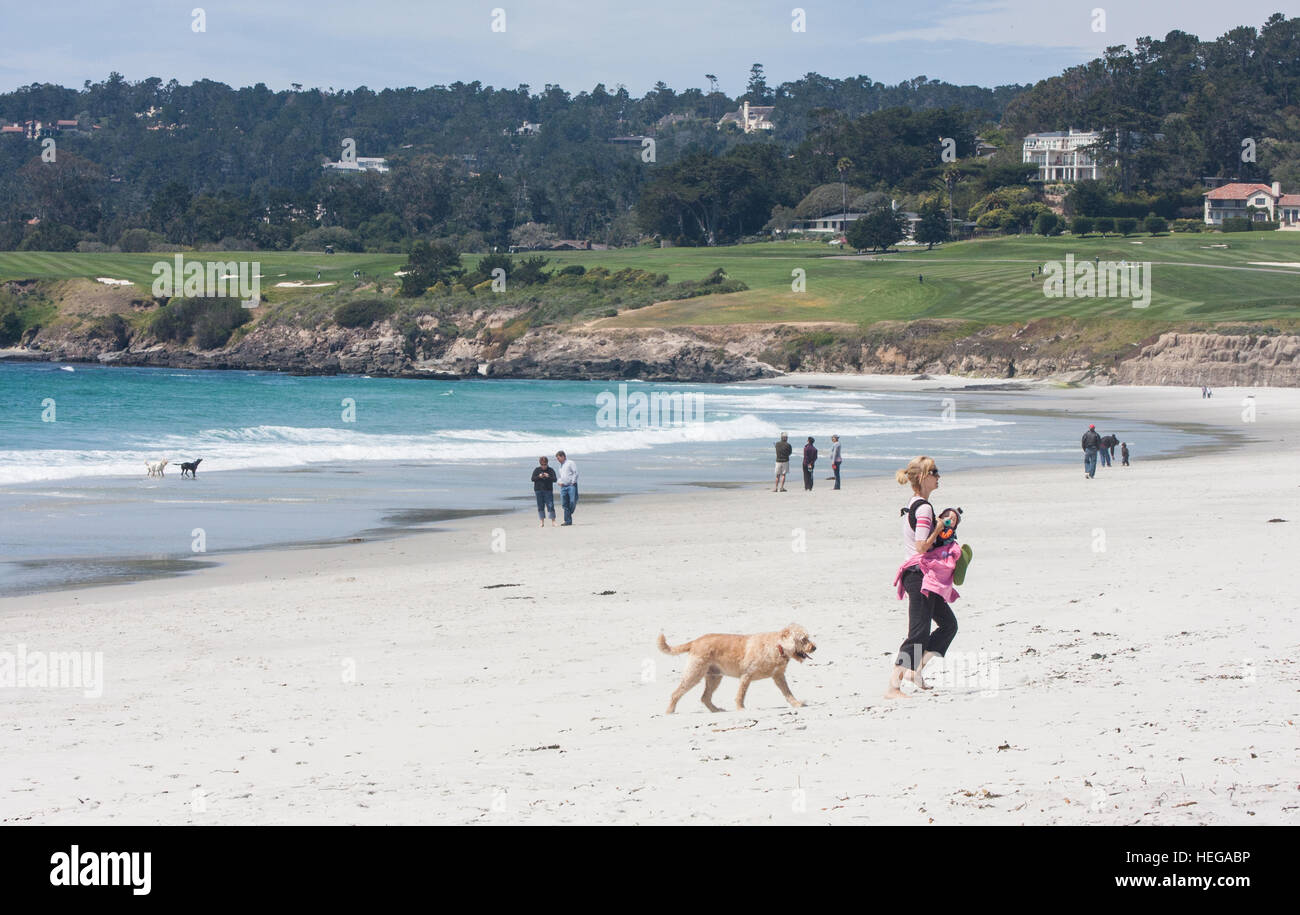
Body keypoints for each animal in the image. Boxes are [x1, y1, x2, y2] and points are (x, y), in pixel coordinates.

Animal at [660, 621, 811, 717]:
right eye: (804, 639)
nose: (814, 647)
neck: (777, 646)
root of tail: (695, 641)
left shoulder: (778, 677)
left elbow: (788, 693)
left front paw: (797, 704)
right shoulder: (746, 676)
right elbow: (740, 695)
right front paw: (741, 709)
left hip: (714, 677)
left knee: (705, 697)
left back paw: (716, 710)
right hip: (694, 674)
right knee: (676, 693)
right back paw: (669, 711)